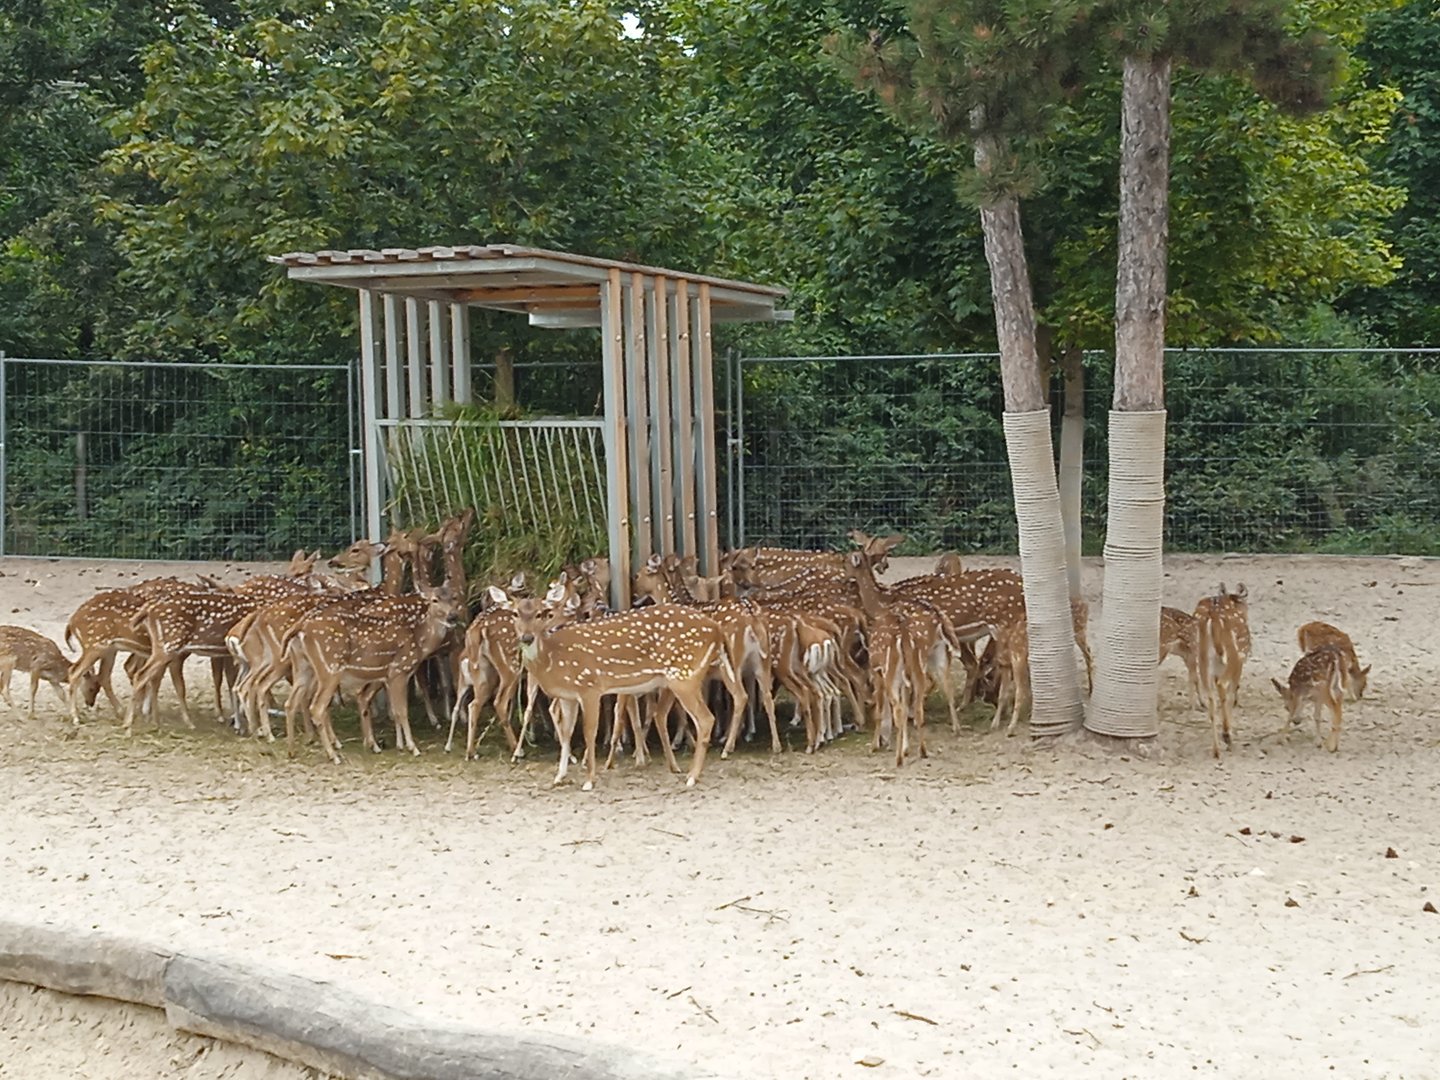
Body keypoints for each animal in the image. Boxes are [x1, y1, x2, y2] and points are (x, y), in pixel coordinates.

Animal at [1194, 583, 1251, 759]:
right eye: (1244, 603)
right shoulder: (1240, 662)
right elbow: (1232, 692)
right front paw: (1227, 733)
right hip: (1233, 657)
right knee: (1223, 686)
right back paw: (1227, 737)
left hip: (1203, 662)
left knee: (1211, 698)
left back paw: (1216, 750)